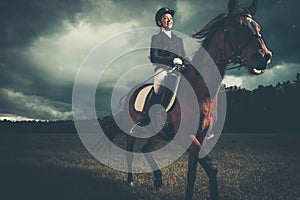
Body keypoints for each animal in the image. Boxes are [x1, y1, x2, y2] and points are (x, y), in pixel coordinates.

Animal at [102, 0, 274, 199]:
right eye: (238, 26)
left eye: (258, 27)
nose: (264, 56)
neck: (202, 90)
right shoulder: (187, 135)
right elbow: (211, 168)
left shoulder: (200, 136)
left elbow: (192, 172)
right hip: (133, 131)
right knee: (130, 152)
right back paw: (130, 180)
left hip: (158, 134)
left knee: (146, 149)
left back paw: (158, 180)